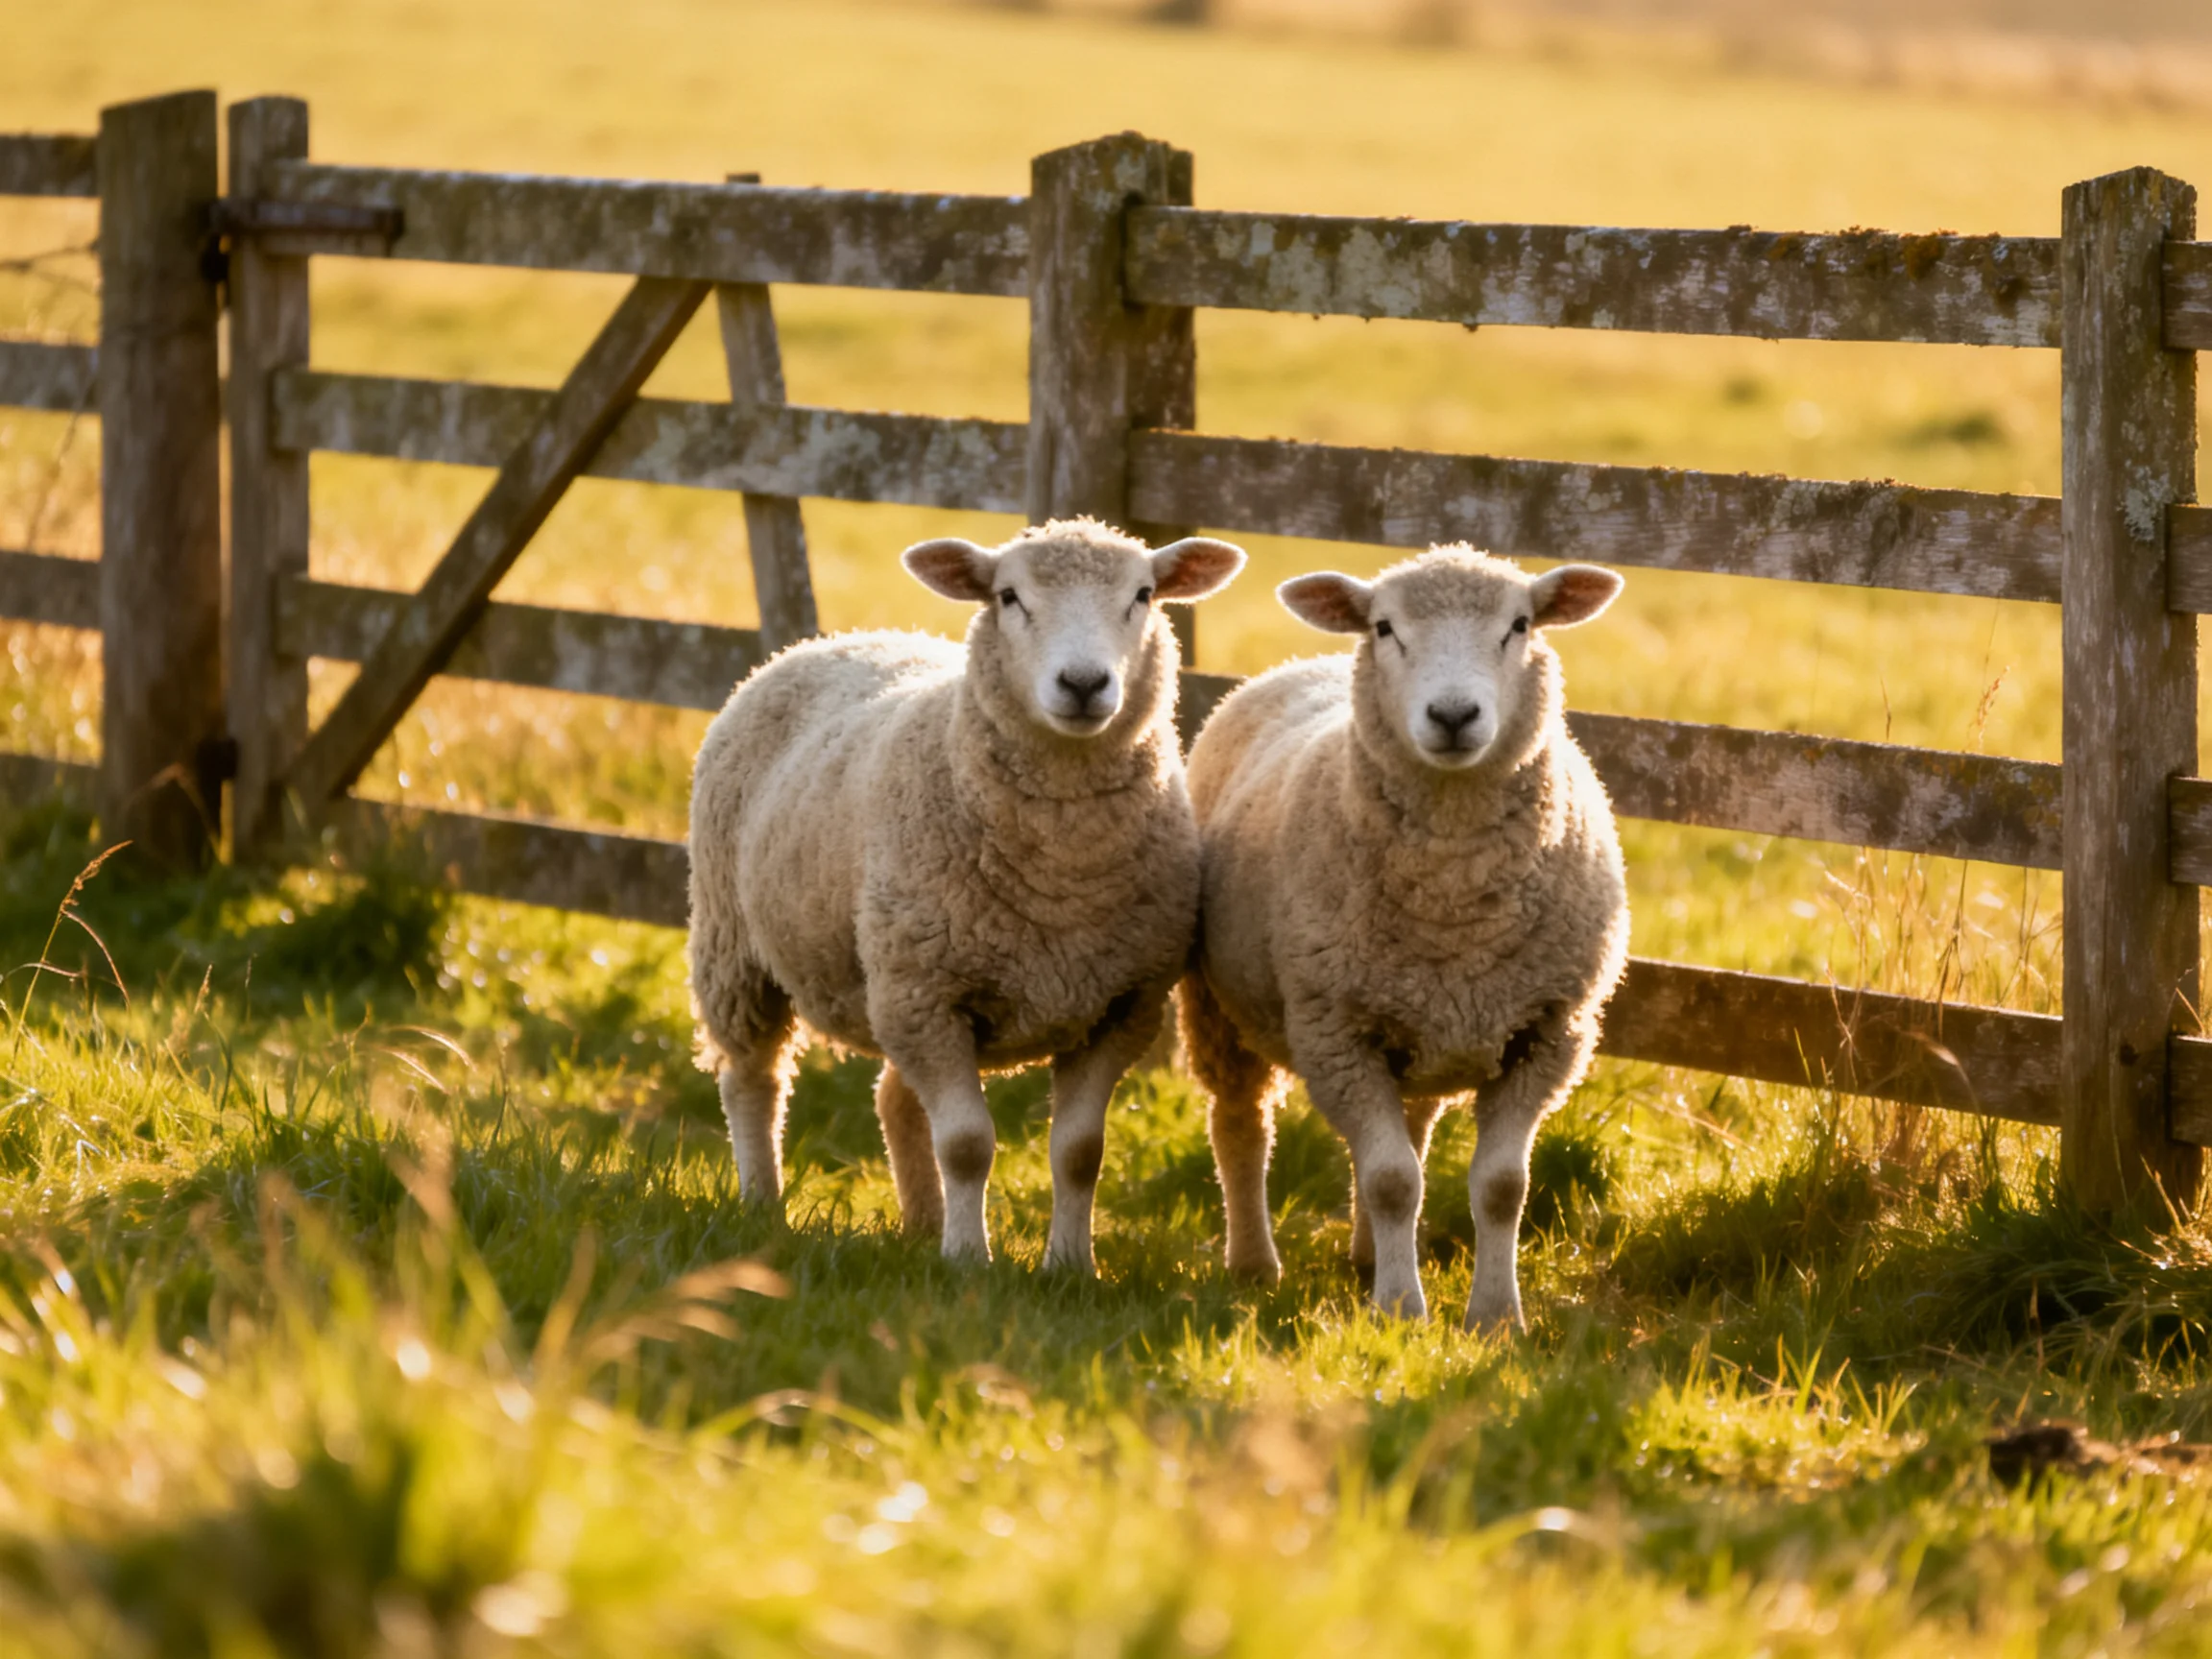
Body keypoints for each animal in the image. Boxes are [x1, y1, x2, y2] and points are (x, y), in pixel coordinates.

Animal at [688, 517, 1247, 1270]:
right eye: (1009, 597)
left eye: (1143, 595)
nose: (1083, 682)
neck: (1062, 870)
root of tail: (832, 639)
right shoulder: (930, 996)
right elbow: (966, 1144)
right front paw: (966, 1261)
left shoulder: (1120, 1008)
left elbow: (1081, 1152)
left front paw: (1070, 1268)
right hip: (740, 951)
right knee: (753, 1079)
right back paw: (763, 1203)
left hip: (893, 987)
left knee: (893, 1098)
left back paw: (921, 1224)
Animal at [1178, 544, 1628, 1331]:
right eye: (1385, 627)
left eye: (1520, 624)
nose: (1452, 714)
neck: (1455, 894)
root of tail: (1303, 660)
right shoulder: (1335, 1032)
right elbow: (1391, 1180)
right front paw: (1399, 1312)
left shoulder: (1550, 1033)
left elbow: (1501, 1185)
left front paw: (1496, 1317)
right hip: (1217, 1009)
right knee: (1241, 1126)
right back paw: (1255, 1263)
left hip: (1423, 1029)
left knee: (1409, 1128)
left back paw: (1365, 1255)